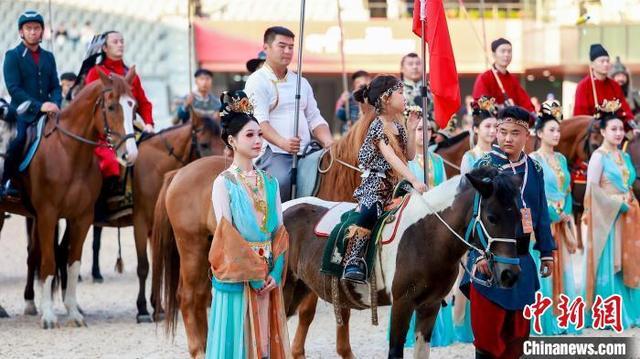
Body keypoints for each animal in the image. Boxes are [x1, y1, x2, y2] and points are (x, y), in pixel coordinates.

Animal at [0, 69, 139, 330]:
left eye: (133, 107)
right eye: (111, 106)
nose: (130, 154)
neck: (68, 152)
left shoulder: (81, 218)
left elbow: (72, 262)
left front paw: (73, 312)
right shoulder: (47, 215)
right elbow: (48, 261)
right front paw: (48, 315)